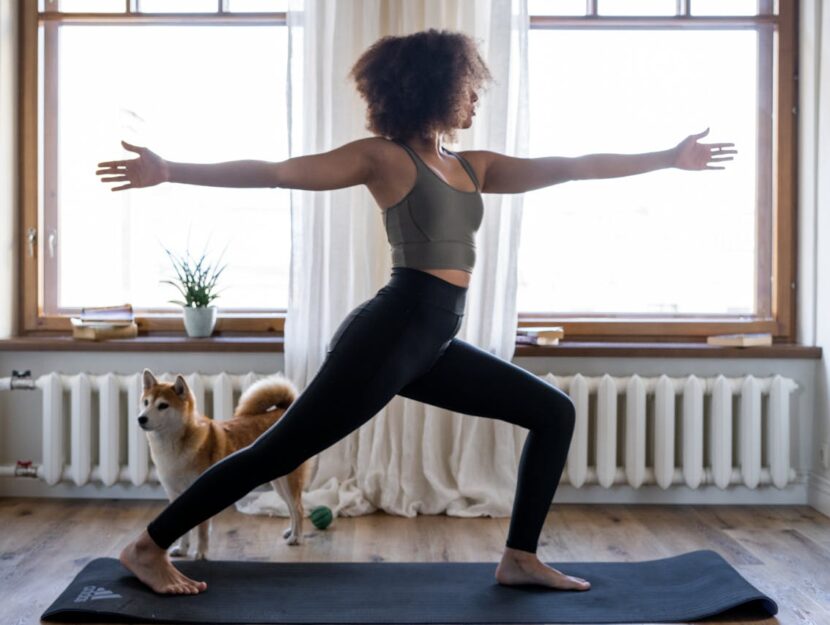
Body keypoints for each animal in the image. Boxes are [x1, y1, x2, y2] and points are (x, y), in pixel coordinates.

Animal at [141, 368, 314, 560]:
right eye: (146, 402)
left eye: (163, 405)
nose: (141, 418)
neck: (173, 450)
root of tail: (285, 409)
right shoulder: (175, 494)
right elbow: (181, 528)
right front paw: (182, 549)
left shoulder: (200, 492)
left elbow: (202, 531)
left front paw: (200, 553)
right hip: (279, 482)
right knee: (291, 508)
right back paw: (291, 531)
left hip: (289, 481)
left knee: (298, 508)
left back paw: (296, 538)